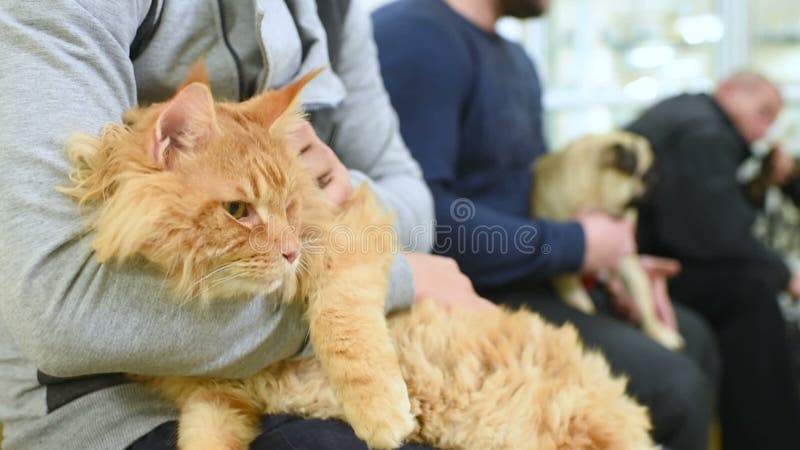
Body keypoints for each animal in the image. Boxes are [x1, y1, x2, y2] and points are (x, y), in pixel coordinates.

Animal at [61, 66, 648, 450]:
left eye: (291, 206)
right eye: (238, 210)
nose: (291, 251)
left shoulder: (358, 236)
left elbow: (343, 327)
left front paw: (382, 412)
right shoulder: (216, 399)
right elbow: (201, 438)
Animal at [536, 132, 684, 350]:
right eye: (648, 175)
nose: (659, 179)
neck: (595, 197)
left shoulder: (624, 257)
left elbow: (643, 296)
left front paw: (658, 332)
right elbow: (570, 284)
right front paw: (581, 303)